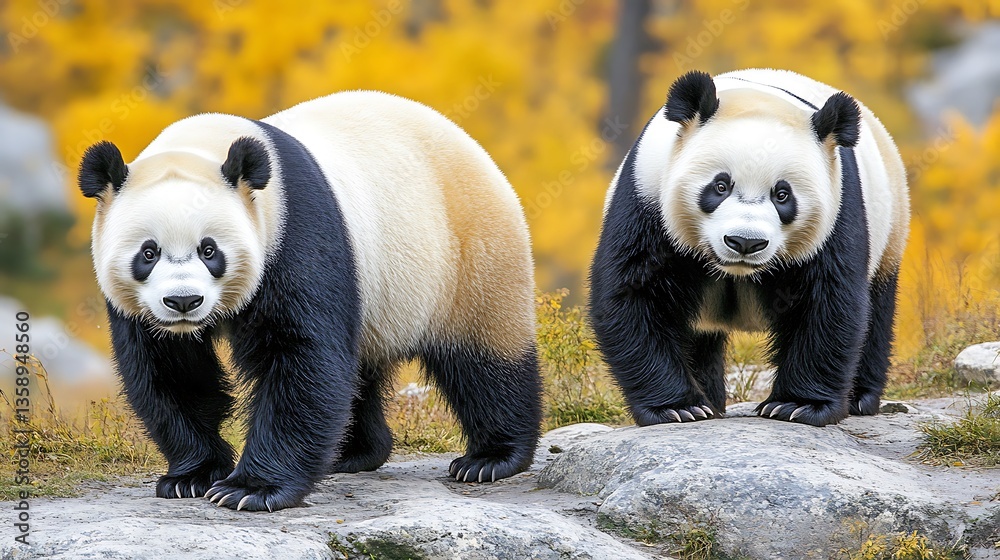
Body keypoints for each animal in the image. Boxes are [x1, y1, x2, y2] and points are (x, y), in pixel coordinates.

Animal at [78, 91, 542, 512]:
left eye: (209, 250)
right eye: (148, 252)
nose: (183, 301)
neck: (204, 146)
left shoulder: (293, 231)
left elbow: (300, 357)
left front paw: (250, 489)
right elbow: (171, 370)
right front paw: (191, 476)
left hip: (467, 247)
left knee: (484, 357)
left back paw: (491, 458)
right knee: (358, 371)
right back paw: (354, 452)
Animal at [589, 69, 909, 428]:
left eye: (782, 195)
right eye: (720, 186)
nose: (745, 242)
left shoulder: (837, 211)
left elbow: (828, 301)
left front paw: (796, 405)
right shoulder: (647, 196)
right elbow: (635, 294)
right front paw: (678, 408)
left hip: (890, 229)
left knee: (877, 311)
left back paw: (859, 397)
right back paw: (711, 402)